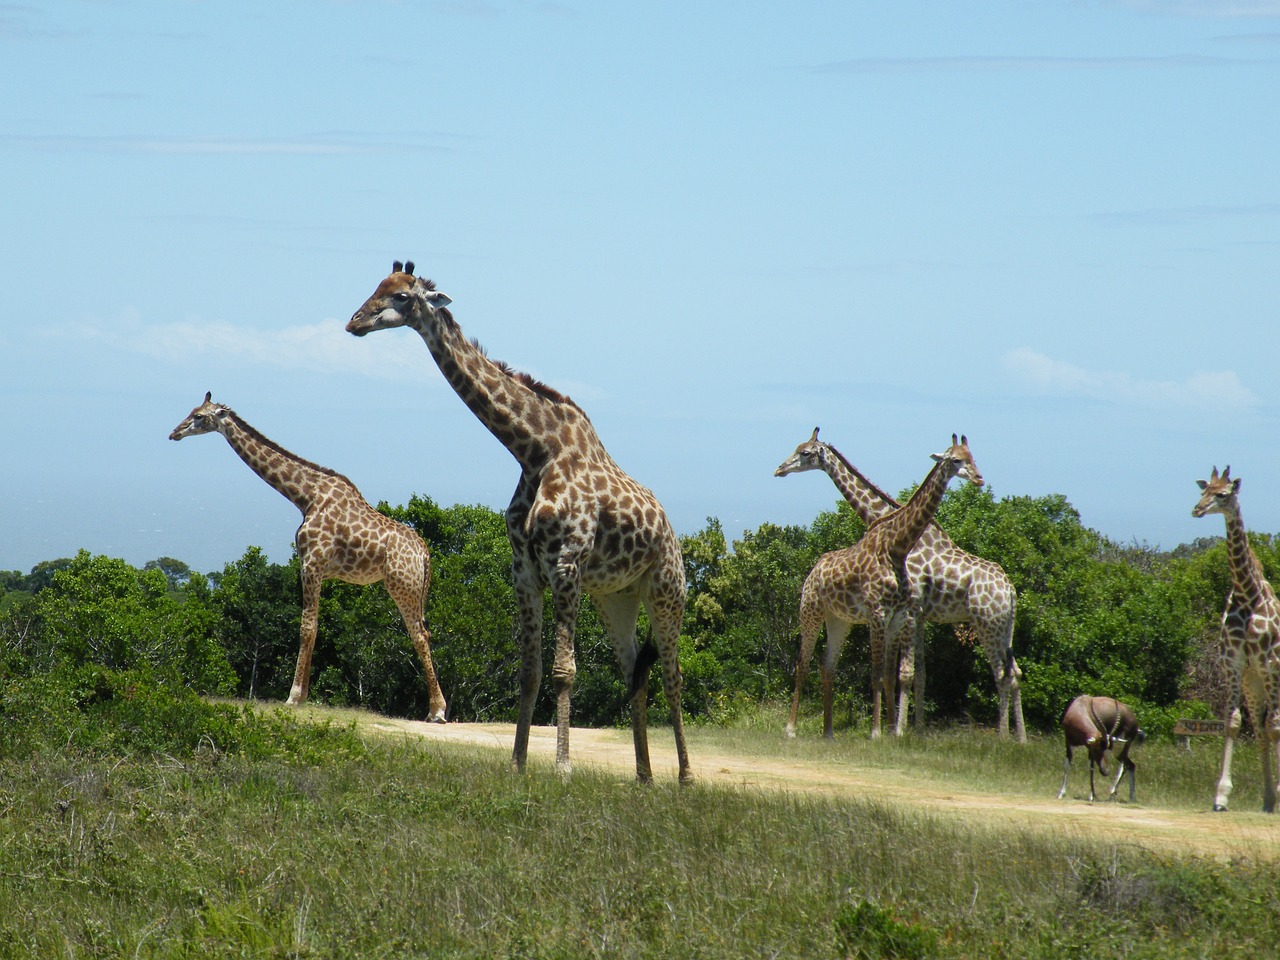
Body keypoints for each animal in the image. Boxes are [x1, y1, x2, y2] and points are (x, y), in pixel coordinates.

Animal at [168, 391, 450, 721]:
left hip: (402, 585)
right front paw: (301, 696)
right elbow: (313, 628)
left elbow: (307, 628)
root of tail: (425, 554)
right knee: (424, 633)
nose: (174, 433)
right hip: (413, 588)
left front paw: (293, 697)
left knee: (419, 635)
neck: (305, 496)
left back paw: (437, 710)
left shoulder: (311, 563)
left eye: (199, 416)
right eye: (192, 410)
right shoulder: (316, 568)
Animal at [348, 261, 691, 783]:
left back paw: (685, 777)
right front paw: (517, 763)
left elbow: (564, 671)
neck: (534, 451)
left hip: (666, 590)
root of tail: (672, 533)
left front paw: (563, 768)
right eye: (376, 287)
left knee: (672, 674)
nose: (355, 322)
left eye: (403, 296)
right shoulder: (525, 570)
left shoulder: (566, 564)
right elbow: (529, 671)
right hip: (617, 597)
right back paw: (644, 776)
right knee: (636, 670)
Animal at [773, 430, 1024, 742]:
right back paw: (1018, 738)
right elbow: (912, 673)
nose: (779, 469)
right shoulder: (912, 616)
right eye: (958, 459)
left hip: (989, 623)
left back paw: (1006, 737)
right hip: (1001, 627)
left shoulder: (908, 613)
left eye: (805, 452)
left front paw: (898, 730)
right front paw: (907, 730)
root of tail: (1010, 590)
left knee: (1003, 673)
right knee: (1014, 673)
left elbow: (901, 673)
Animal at [1187, 465, 1280, 814]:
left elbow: (1275, 726)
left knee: (1272, 726)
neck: (1246, 593)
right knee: (1261, 728)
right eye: (1203, 490)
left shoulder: (1269, 664)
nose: (1197, 510)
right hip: (1254, 684)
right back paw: (1268, 800)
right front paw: (1221, 796)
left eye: (1223, 494)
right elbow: (1233, 723)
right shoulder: (1235, 664)